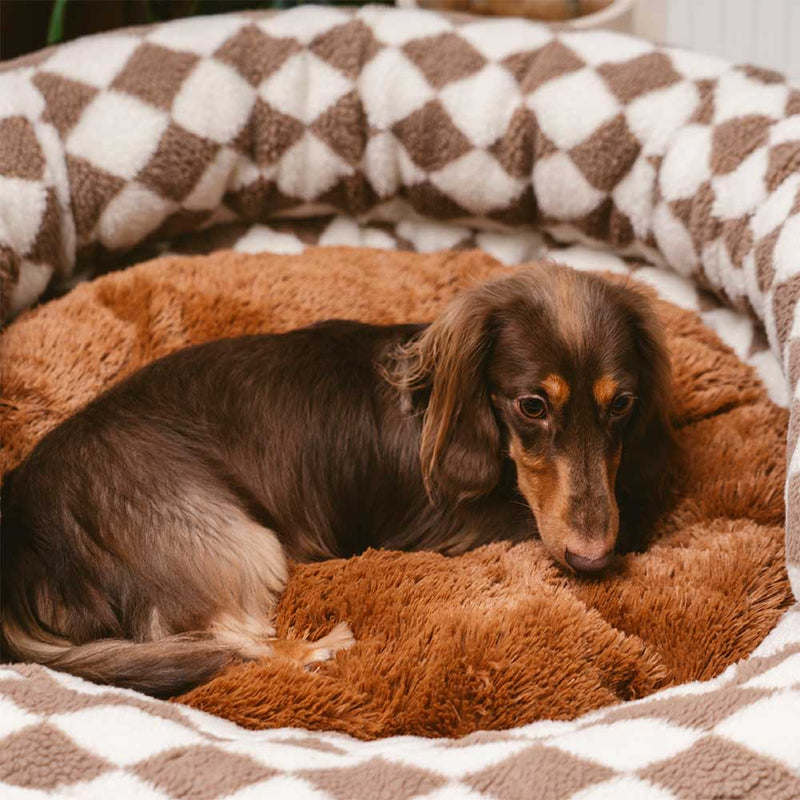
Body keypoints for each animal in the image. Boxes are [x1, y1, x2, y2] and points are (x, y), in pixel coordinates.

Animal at [0, 262, 672, 692]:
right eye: (532, 406)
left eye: (621, 404)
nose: (592, 560)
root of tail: (24, 528)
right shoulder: (449, 524)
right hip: (231, 537)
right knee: (226, 637)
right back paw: (317, 649)